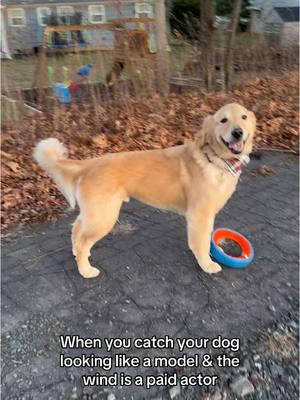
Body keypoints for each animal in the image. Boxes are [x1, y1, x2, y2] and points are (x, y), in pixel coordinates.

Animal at [34, 103, 255, 278]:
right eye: (223, 120)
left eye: (243, 117)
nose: (238, 132)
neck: (214, 159)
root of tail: (89, 163)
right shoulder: (199, 215)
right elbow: (201, 244)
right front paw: (207, 264)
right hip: (103, 217)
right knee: (82, 240)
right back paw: (85, 270)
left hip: (94, 213)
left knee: (76, 229)